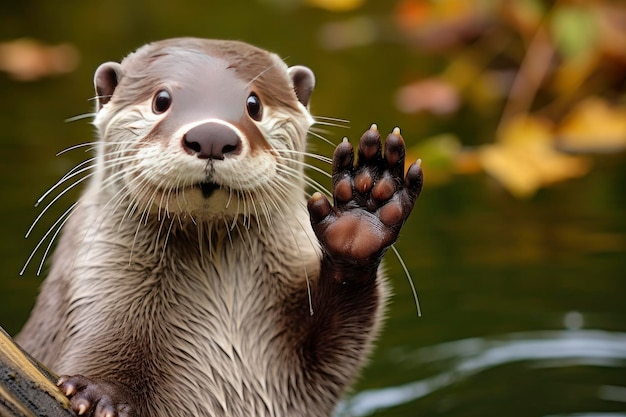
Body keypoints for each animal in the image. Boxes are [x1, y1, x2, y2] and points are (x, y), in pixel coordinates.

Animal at [15, 38, 424, 416]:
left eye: (254, 104)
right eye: (161, 100)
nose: (212, 135)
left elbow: (337, 349)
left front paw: (363, 210)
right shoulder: (100, 292)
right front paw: (103, 394)